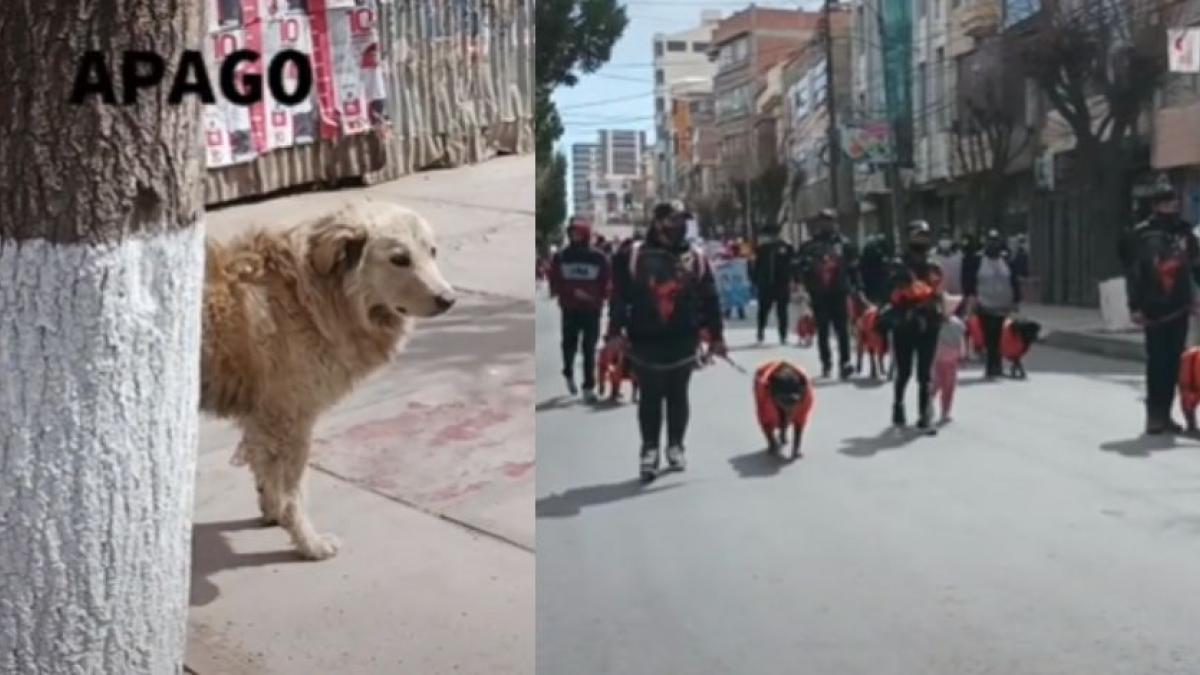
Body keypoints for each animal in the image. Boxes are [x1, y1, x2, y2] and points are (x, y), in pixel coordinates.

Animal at [201, 199, 453, 557]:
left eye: (432, 251)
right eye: (400, 259)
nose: (449, 299)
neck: (310, 294)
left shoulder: (263, 416)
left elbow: (266, 473)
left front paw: (272, 512)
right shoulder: (290, 419)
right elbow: (294, 490)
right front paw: (308, 543)